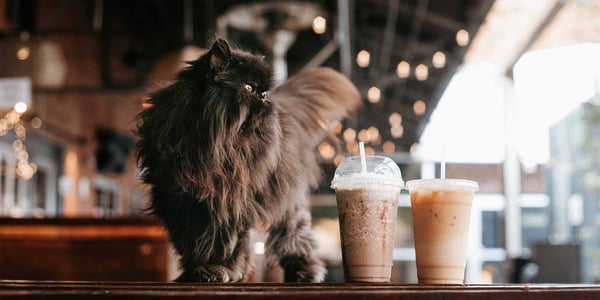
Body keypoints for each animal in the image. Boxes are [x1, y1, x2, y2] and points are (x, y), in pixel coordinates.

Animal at [136, 38, 360, 282]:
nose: (265, 98)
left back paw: (305, 273)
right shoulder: (182, 202)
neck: (217, 147)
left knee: (295, 237)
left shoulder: (231, 204)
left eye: (264, 92)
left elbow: (223, 243)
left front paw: (218, 269)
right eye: (249, 88)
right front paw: (199, 271)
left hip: (288, 204)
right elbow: (193, 243)